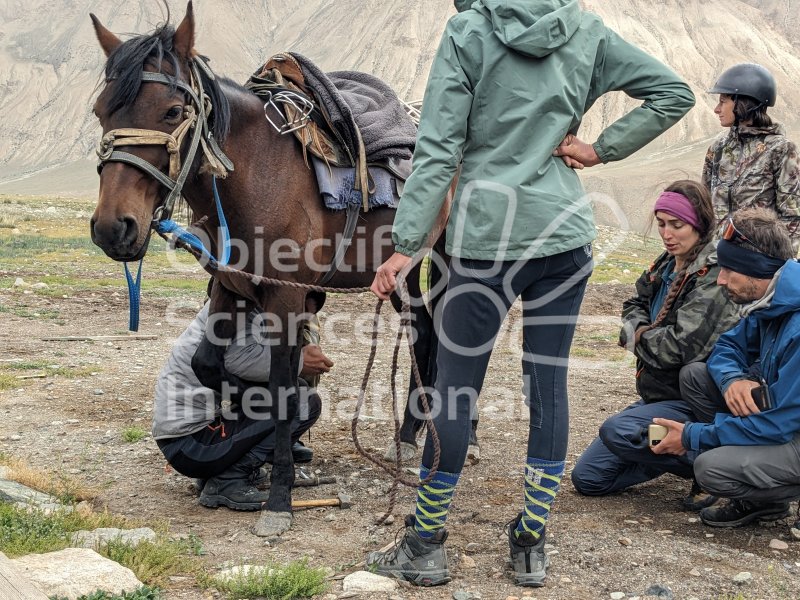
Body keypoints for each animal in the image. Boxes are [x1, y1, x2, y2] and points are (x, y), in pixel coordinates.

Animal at [92, 1, 450, 536]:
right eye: (100, 112)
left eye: (173, 111)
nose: (113, 228)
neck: (256, 177)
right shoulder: (229, 286)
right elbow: (207, 364)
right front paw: (236, 433)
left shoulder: (284, 297)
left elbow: (283, 392)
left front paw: (279, 499)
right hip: (401, 270)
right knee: (423, 329)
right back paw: (407, 436)